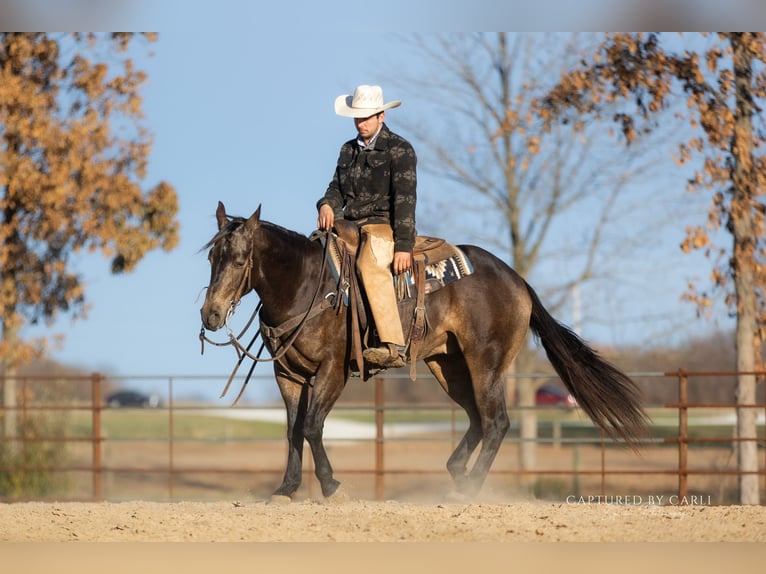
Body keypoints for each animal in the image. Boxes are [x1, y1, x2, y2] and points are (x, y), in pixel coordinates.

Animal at [200, 201, 648, 501]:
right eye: (211, 257)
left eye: (238, 260)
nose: (211, 314)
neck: (308, 286)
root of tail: (517, 280)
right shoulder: (288, 375)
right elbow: (293, 431)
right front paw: (287, 489)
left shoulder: (333, 371)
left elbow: (311, 427)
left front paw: (330, 485)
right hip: (447, 366)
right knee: (477, 419)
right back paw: (457, 474)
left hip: (486, 363)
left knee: (497, 421)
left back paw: (469, 489)